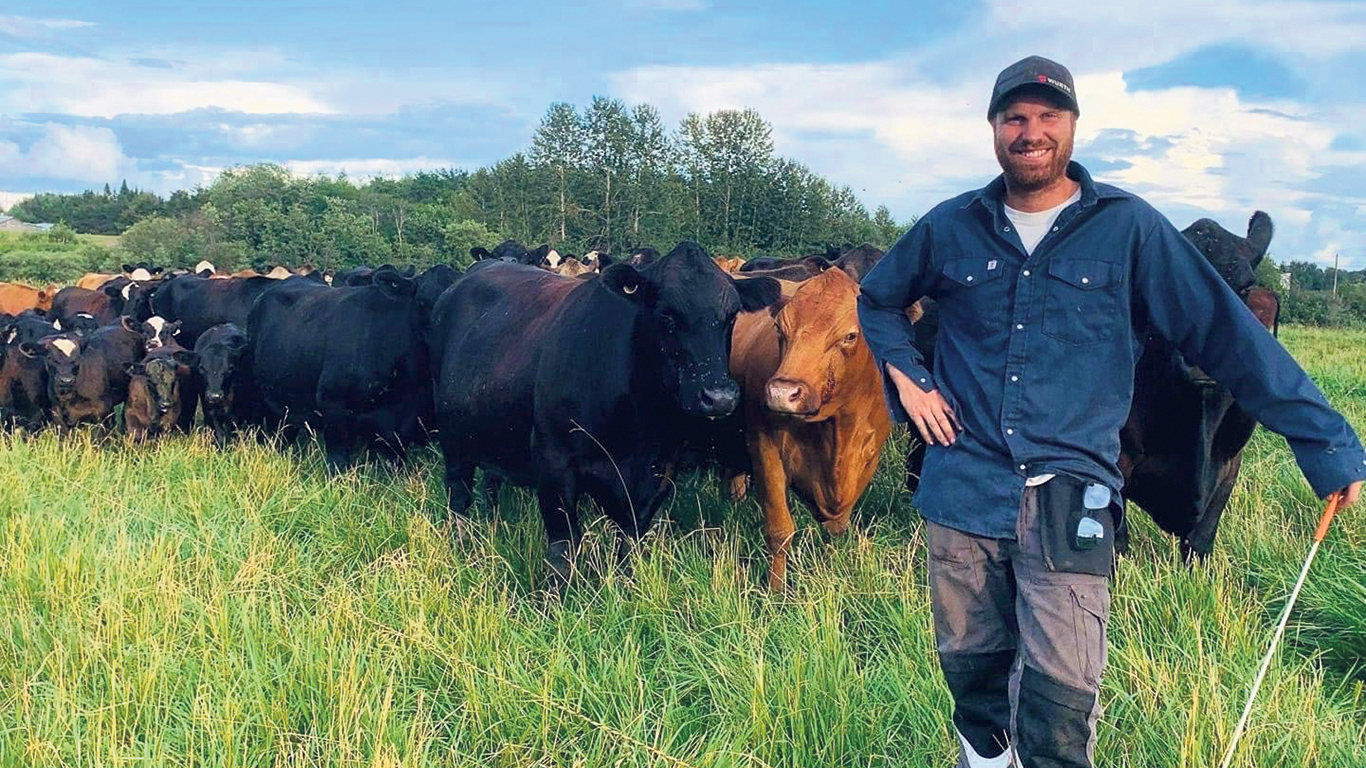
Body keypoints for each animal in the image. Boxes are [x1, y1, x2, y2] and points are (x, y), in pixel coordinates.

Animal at [426, 241, 781, 582]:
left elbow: (628, 547)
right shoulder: (553, 462)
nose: (719, 397)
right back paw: (462, 543)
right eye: (666, 316)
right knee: (458, 497)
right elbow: (563, 549)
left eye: (731, 317)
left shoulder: (658, 475)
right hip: (453, 444)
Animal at [732, 267, 890, 584]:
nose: (782, 393)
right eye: (779, 329)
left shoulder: (869, 456)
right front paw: (775, 591)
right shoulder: (764, 447)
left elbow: (836, 526)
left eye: (850, 336)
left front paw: (832, 570)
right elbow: (779, 531)